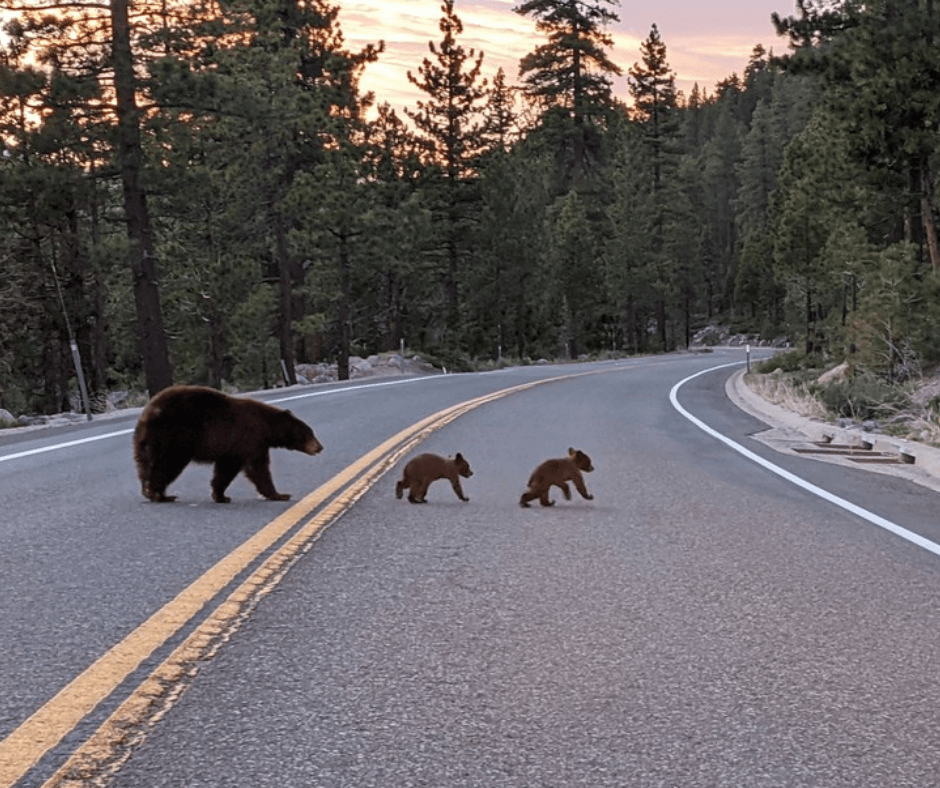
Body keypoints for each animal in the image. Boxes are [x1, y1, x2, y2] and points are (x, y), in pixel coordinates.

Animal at [132, 386, 324, 504]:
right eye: (310, 433)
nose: (320, 447)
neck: (267, 426)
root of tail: (147, 413)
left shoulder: (236, 446)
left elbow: (227, 469)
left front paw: (220, 495)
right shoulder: (249, 439)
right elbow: (255, 468)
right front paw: (280, 494)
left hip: (147, 442)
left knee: (146, 464)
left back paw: (154, 492)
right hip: (172, 438)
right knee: (166, 465)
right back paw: (158, 493)